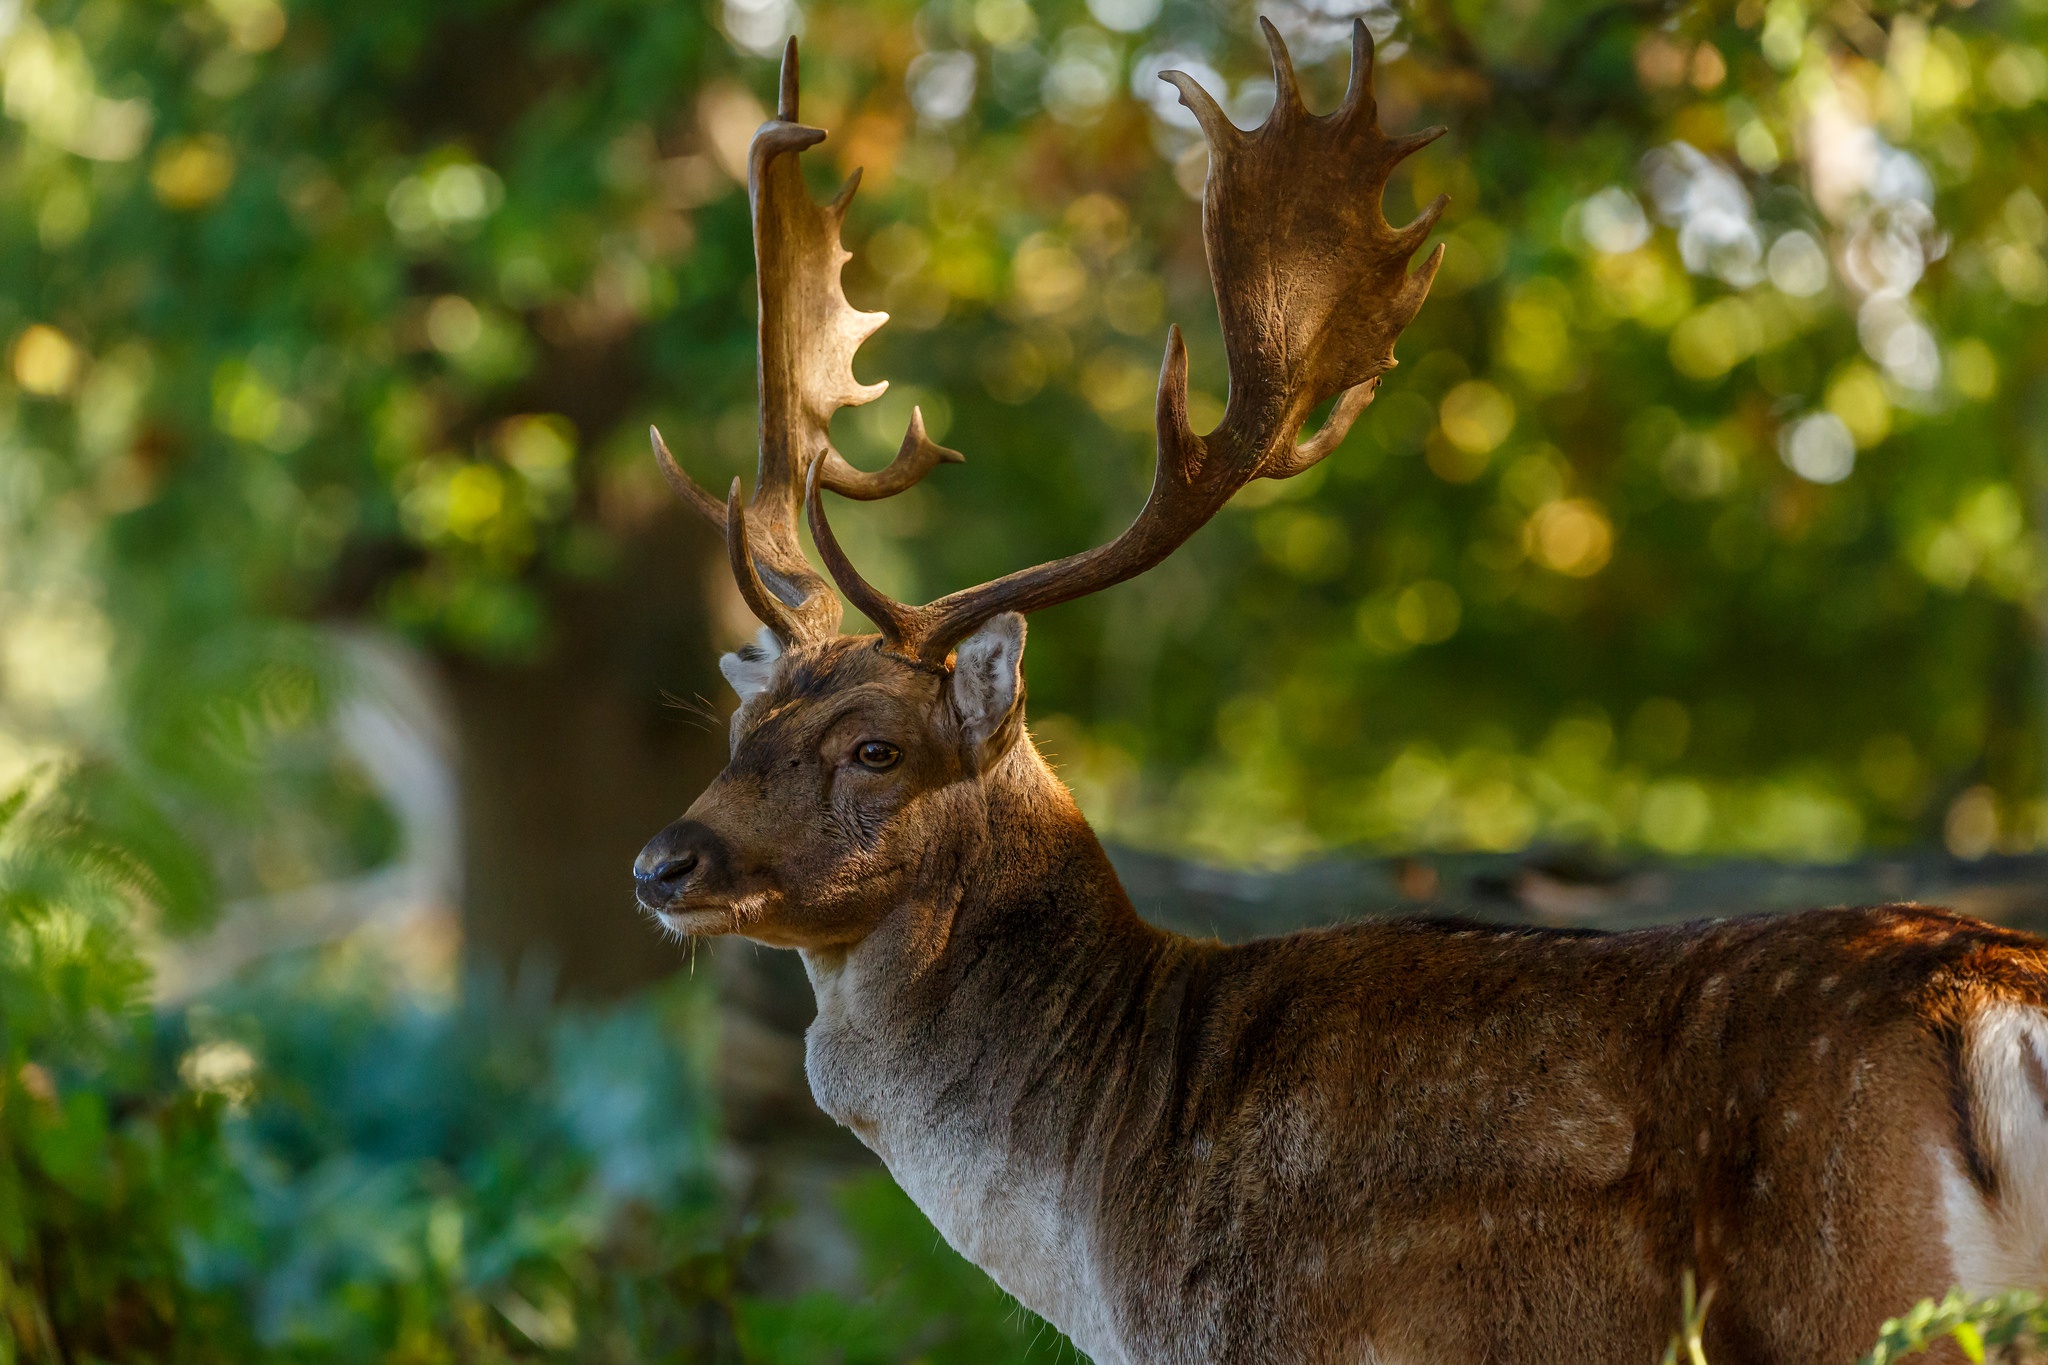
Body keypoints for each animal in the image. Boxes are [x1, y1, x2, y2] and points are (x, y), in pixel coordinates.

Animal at [630, 24, 2048, 1365]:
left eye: (874, 748)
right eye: (742, 725)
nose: (659, 864)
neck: (1103, 1237)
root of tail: (1998, 1011)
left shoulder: (1283, 1333)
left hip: (1860, 1290)